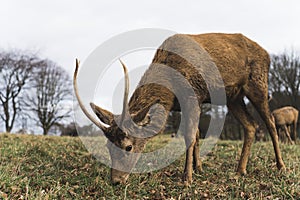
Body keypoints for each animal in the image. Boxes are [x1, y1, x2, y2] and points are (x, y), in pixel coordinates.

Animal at [73, 32, 286, 184]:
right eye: (108, 146)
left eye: (129, 146)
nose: (116, 180)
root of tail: (267, 54)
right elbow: (197, 134)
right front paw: (199, 168)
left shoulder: (193, 96)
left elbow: (190, 136)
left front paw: (187, 177)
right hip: (234, 97)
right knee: (251, 125)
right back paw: (240, 170)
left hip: (258, 84)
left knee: (270, 122)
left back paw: (280, 166)